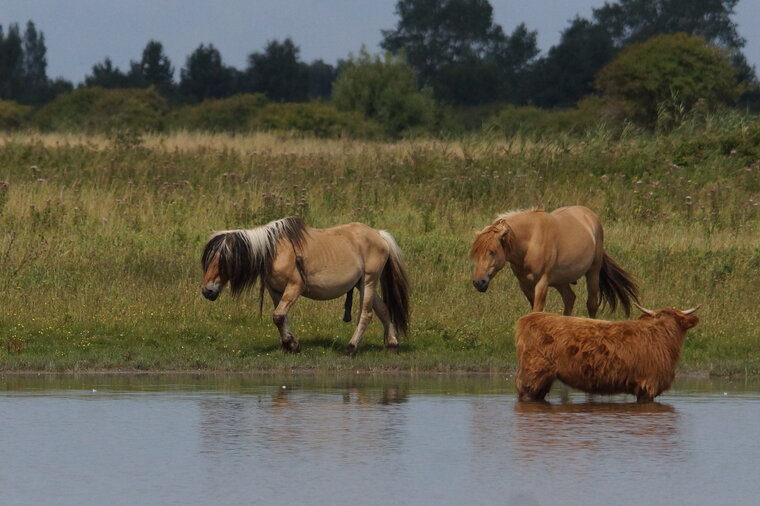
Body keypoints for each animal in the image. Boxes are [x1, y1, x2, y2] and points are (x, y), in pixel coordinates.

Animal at [197, 216, 410, 356]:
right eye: (208, 260)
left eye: (223, 261)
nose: (207, 291)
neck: (274, 250)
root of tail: (379, 235)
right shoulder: (276, 291)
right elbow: (282, 317)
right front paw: (289, 344)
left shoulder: (295, 287)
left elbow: (278, 316)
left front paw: (291, 343)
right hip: (362, 284)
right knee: (383, 310)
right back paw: (392, 344)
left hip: (368, 281)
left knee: (366, 315)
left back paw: (350, 348)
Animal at [472, 206, 640, 316]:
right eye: (476, 253)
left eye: (492, 252)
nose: (478, 282)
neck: (531, 241)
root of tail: (590, 216)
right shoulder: (525, 285)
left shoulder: (542, 283)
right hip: (561, 281)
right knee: (570, 299)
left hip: (593, 271)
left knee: (591, 304)